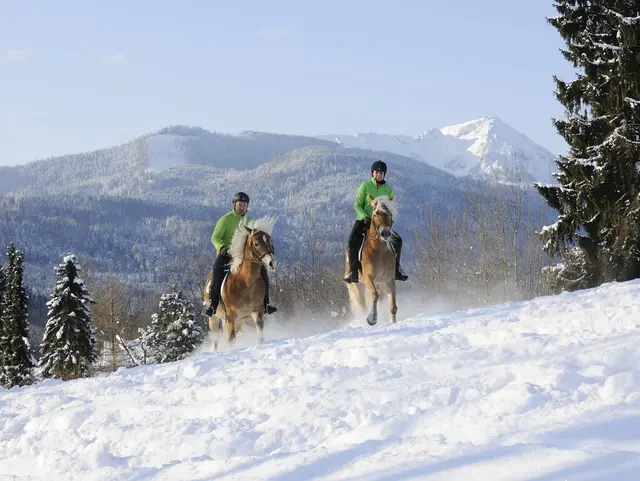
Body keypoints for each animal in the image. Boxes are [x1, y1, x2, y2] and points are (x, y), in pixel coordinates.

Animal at [348, 195, 398, 326]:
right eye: (375, 214)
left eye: (390, 213)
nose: (385, 233)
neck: (379, 250)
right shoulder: (368, 277)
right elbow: (375, 295)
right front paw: (372, 318)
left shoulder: (389, 279)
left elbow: (393, 306)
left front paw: (393, 322)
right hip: (358, 286)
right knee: (362, 305)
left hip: (380, 283)